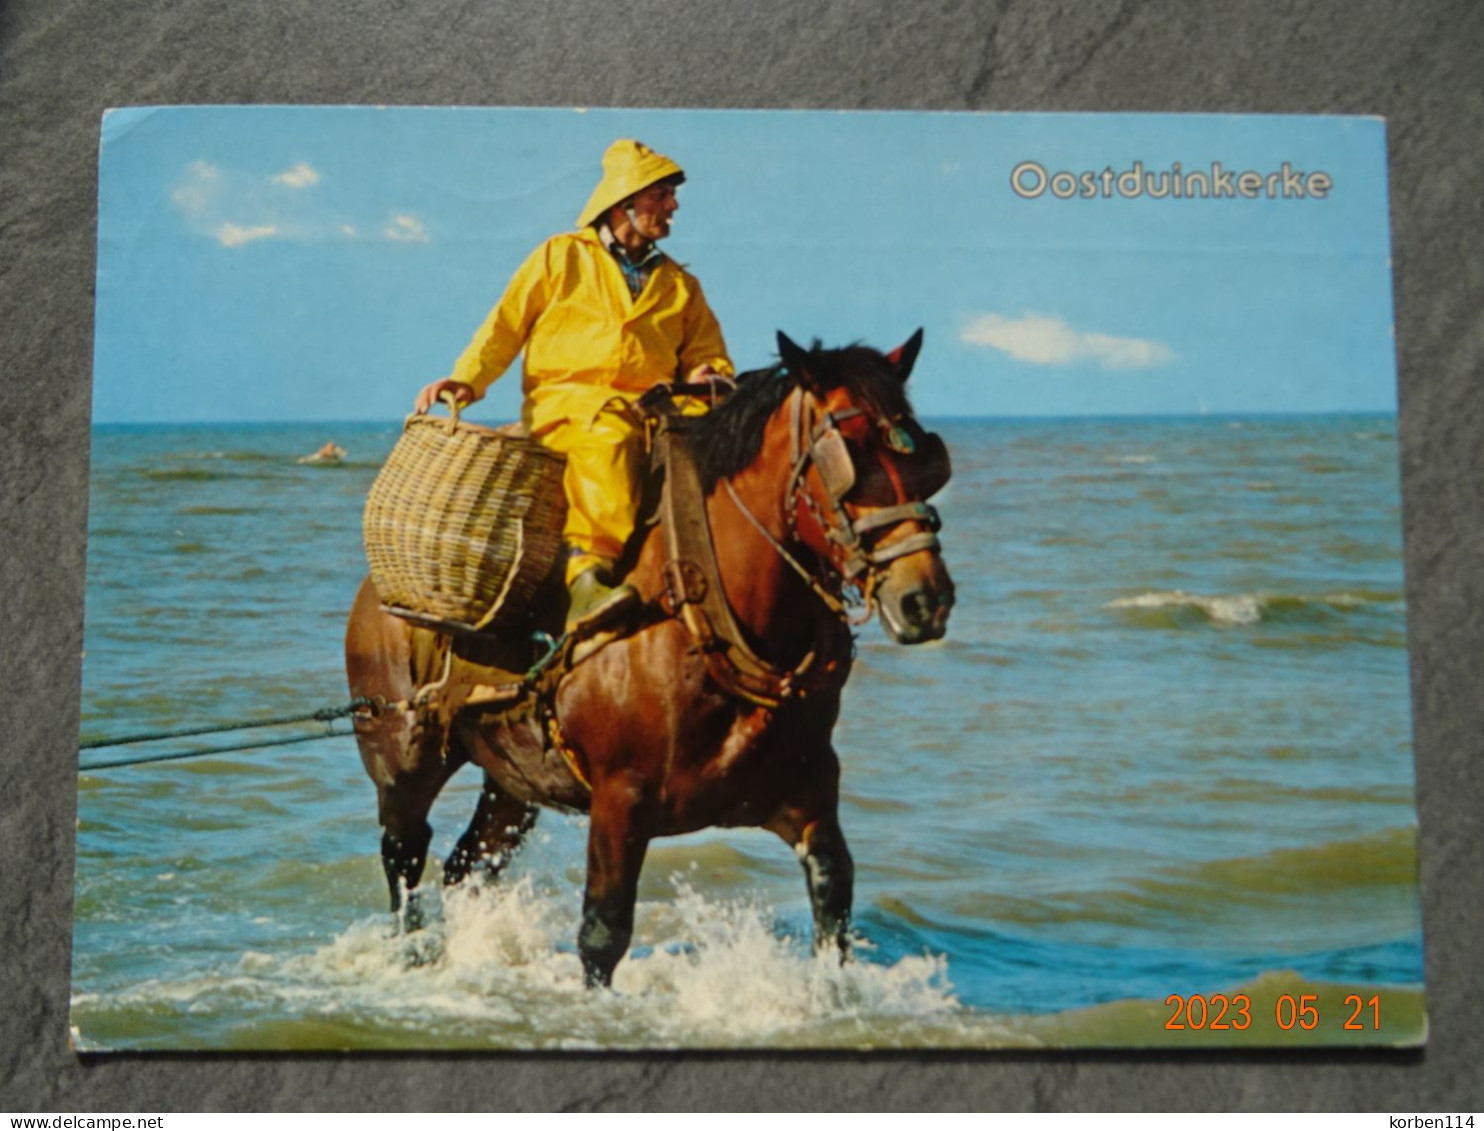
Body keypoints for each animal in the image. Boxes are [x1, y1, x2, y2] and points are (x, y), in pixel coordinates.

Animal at [342, 330, 955, 985]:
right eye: (850, 458)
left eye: (927, 461)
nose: (924, 598)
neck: (703, 611)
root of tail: (375, 591)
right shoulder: (619, 799)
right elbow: (602, 933)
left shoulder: (809, 791)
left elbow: (834, 904)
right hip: (402, 759)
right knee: (405, 857)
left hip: (513, 779)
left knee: (465, 865)